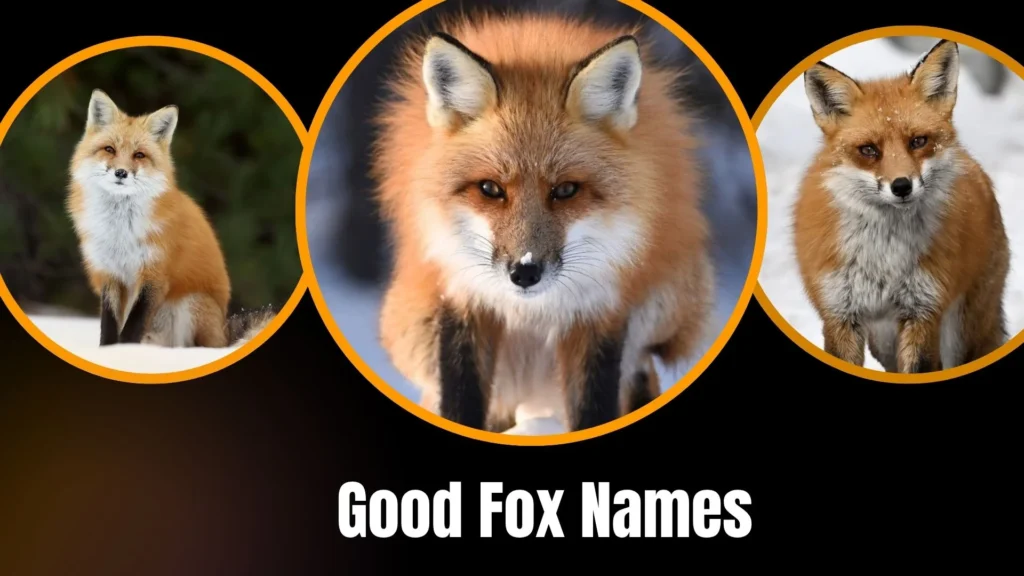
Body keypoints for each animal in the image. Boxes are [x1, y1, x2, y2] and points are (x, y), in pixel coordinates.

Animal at [67, 89, 277, 349]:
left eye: (139, 155)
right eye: (109, 149)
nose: (121, 173)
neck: (121, 231)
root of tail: (223, 334)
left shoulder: (154, 274)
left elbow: (133, 325)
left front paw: (125, 351)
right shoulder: (109, 273)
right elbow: (109, 327)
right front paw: (109, 352)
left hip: (191, 303)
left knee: (192, 347)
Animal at [373, 13, 714, 432]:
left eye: (565, 190)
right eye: (490, 189)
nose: (525, 272)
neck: (533, 311)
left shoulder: (600, 307)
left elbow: (594, 410)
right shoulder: (462, 295)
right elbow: (459, 404)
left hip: (668, 300)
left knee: (639, 368)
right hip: (414, 327)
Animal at [793, 39, 1010, 374]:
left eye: (918, 141)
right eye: (869, 150)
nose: (902, 186)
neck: (885, 257)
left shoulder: (923, 310)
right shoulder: (839, 313)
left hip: (962, 331)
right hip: (884, 341)